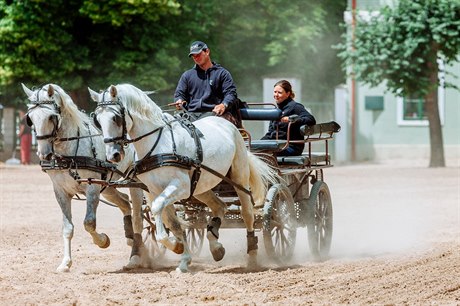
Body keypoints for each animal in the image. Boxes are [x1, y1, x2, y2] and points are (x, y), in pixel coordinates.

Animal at [21, 82, 147, 272]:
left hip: (133, 182)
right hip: (107, 186)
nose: (44, 154)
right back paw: (130, 238)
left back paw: (137, 255)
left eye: (51, 117)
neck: (69, 153)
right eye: (30, 118)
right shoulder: (61, 191)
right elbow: (67, 228)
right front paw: (65, 263)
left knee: (138, 216)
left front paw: (103, 241)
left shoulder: (92, 187)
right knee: (125, 202)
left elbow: (89, 223)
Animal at [88, 82, 278, 272]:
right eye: (97, 119)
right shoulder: (152, 191)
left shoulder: (180, 186)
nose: (113, 155)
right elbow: (172, 223)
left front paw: (174, 245)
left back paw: (252, 257)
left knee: (247, 213)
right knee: (220, 206)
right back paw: (216, 247)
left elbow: (158, 209)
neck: (158, 144)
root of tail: (227, 124)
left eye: (115, 117)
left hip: (239, 178)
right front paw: (182, 255)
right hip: (201, 186)